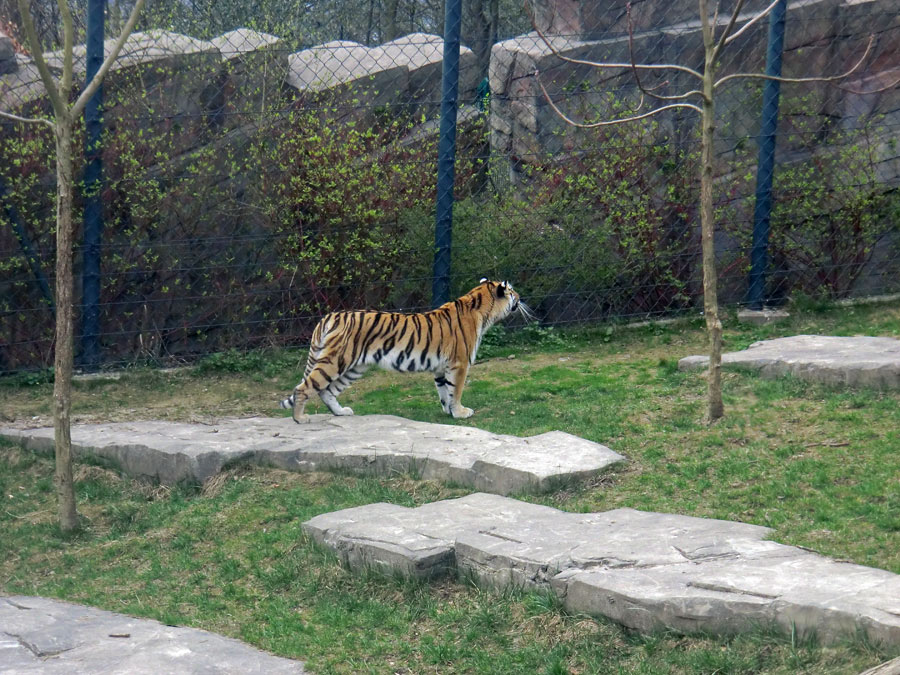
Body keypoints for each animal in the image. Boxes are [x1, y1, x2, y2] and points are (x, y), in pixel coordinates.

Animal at [282, 280, 532, 422]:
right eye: (513, 292)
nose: (521, 298)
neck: (482, 310)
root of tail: (328, 317)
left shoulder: (441, 367)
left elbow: (444, 391)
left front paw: (449, 412)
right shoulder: (460, 363)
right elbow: (457, 390)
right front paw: (461, 412)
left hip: (354, 366)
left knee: (327, 391)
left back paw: (341, 412)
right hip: (335, 361)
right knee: (303, 388)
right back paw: (300, 419)